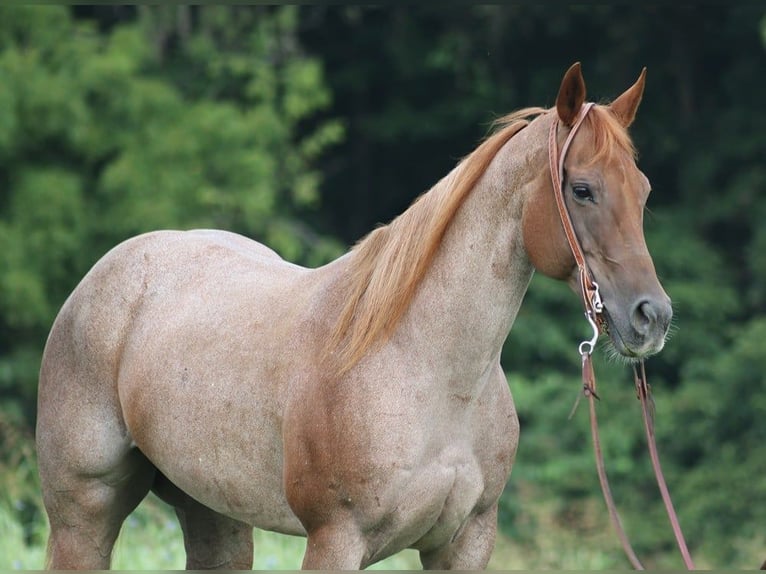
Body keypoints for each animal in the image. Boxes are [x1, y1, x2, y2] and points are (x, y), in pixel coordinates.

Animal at [36, 62, 672, 569]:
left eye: (643, 190)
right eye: (583, 189)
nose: (653, 317)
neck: (428, 372)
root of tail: (107, 275)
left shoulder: (465, 542)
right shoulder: (336, 539)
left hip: (214, 514)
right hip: (82, 515)